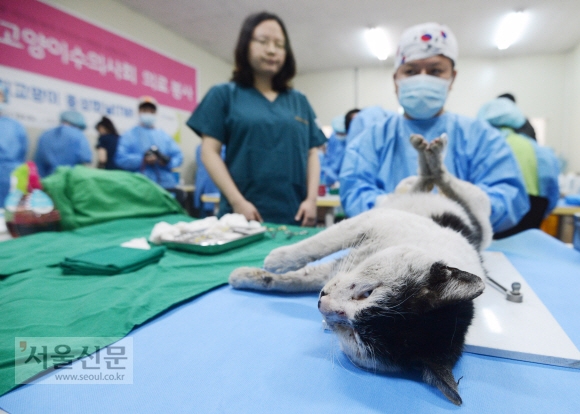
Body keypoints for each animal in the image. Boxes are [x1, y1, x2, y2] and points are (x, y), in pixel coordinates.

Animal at [229, 134, 492, 406]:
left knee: (437, 181)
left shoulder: (335, 270)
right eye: (367, 294)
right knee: (435, 181)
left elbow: (297, 279)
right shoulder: (370, 222)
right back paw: (427, 155)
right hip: (454, 202)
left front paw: (250, 276)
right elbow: (317, 245)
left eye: (353, 335)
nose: (322, 303)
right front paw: (276, 259)